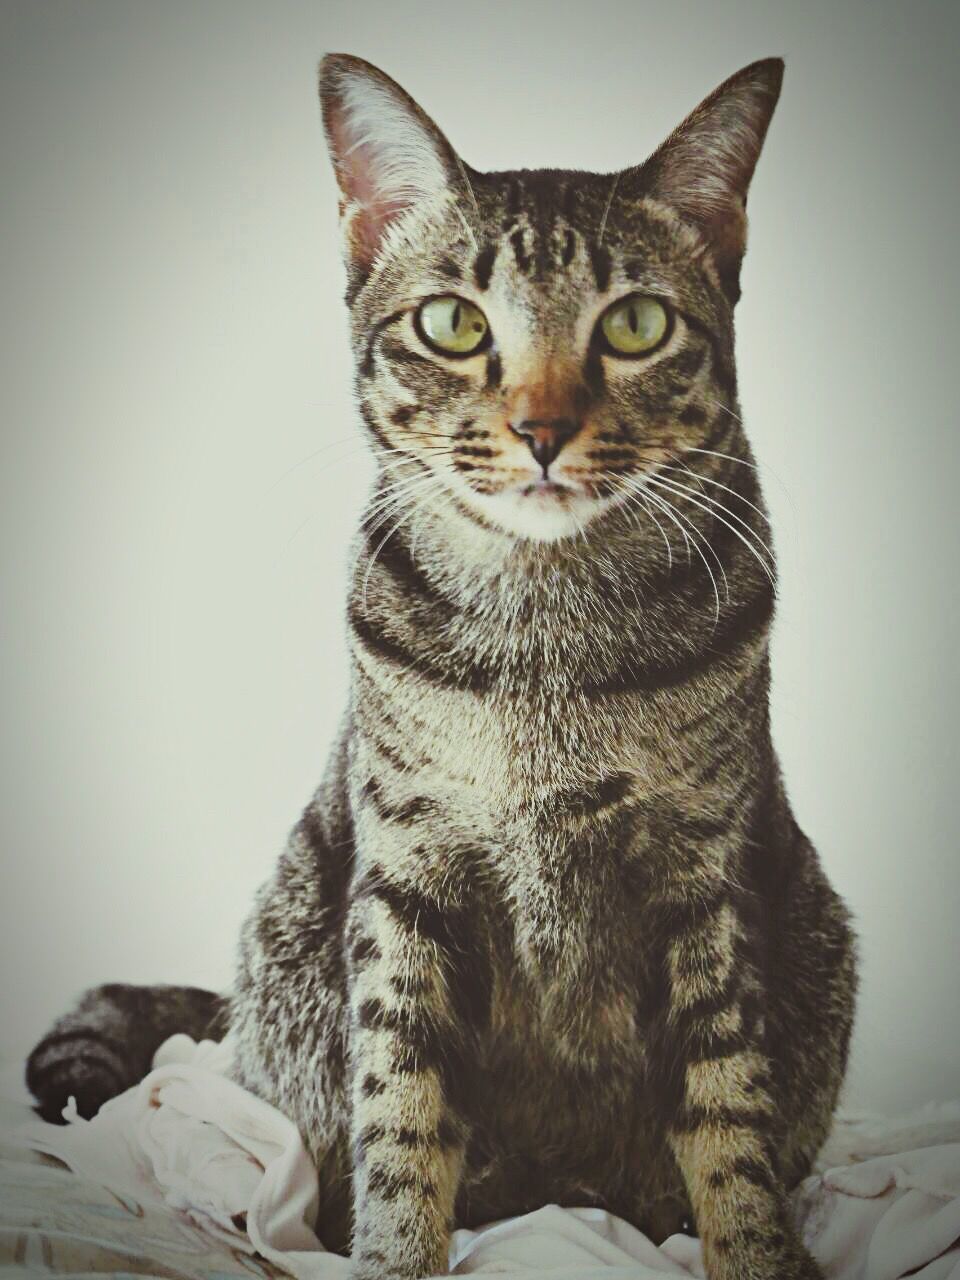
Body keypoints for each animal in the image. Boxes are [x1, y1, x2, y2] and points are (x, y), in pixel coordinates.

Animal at [28, 52, 855, 1280]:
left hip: (817, 932)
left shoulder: (706, 878)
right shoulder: (408, 876)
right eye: (455, 324)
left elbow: (728, 1113)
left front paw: (757, 1251)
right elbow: (405, 1112)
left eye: (637, 323)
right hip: (292, 948)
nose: (543, 429)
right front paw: (396, 1253)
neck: (550, 638)